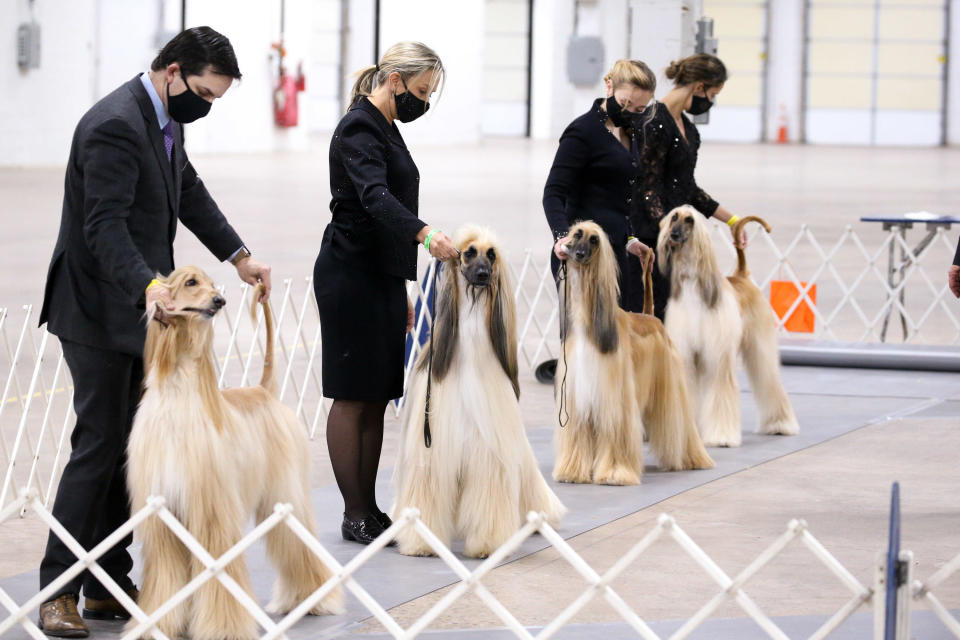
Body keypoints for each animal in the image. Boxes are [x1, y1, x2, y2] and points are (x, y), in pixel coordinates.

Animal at [123, 268, 342, 640]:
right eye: (191, 283)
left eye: (213, 284)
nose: (219, 300)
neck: (178, 394)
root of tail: (263, 390)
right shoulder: (163, 517)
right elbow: (167, 577)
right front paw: (158, 624)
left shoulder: (211, 510)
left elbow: (218, 572)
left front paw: (223, 627)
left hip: (284, 496)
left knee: (299, 545)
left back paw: (315, 599)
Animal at [394, 228, 568, 556]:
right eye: (469, 253)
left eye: (492, 255)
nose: (485, 275)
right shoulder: (433, 455)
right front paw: (422, 542)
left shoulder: (489, 454)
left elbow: (489, 495)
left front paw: (487, 544)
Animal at [556, 221, 712, 484]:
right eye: (577, 235)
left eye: (594, 240)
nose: (578, 254)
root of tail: (650, 316)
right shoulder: (580, 395)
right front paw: (573, 471)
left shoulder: (615, 396)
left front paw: (614, 473)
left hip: (668, 384)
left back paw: (692, 459)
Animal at [656, 208, 800, 448]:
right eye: (674, 217)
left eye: (690, 220)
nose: (673, 235)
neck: (692, 284)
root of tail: (741, 276)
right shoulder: (686, 354)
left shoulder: (719, 354)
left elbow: (721, 390)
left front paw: (721, 436)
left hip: (759, 344)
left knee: (769, 378)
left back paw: (779, 424)